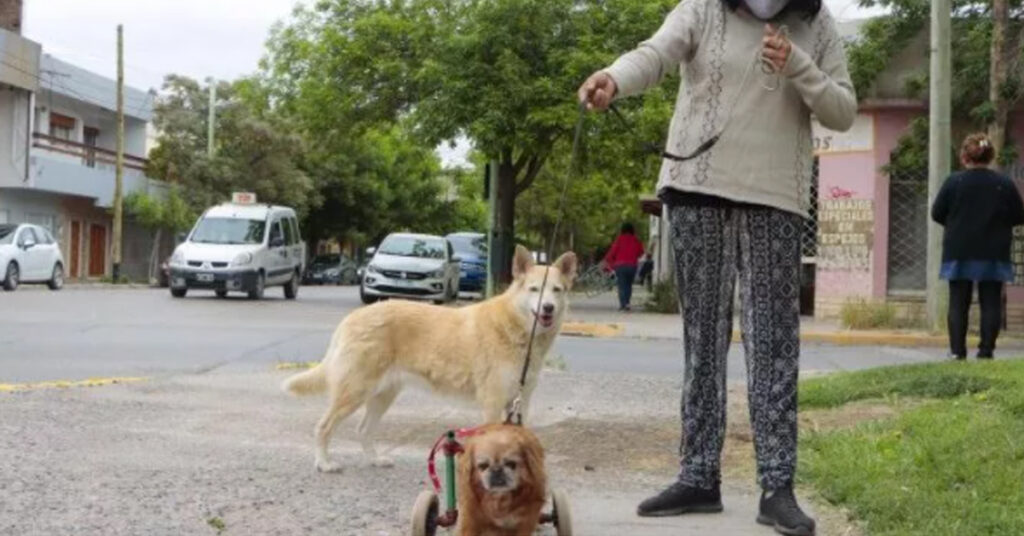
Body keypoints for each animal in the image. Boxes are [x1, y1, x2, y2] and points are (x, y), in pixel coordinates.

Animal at [284, 244, 581, 471]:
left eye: (557, 290)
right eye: (534, 289)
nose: (548, 308)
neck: (520, 332)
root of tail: (353, 317)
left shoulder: (521, 402)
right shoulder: (493, 402)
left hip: (382, 396)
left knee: (363, 430)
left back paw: (375, 460)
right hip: (354, 392)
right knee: (323, 427)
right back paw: (324, 463)